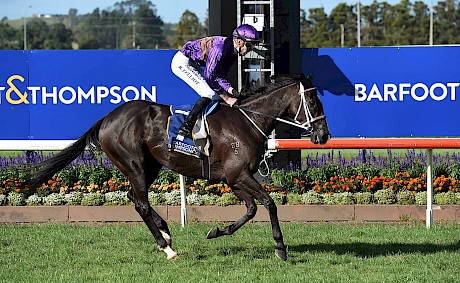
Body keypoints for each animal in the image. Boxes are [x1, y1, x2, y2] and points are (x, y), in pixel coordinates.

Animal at [27, 74, 330, 262]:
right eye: (314, 102)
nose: (324, 136)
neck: (247, 121)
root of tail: (107, 118)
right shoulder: (239, 174)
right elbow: (269, 203)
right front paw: (280, 247)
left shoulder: (233, 178)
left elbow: (252, 209)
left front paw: (217, 231)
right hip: (134, 163)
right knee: (141, 203)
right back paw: (167, 248)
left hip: (150, 165)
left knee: (134, 197)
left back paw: (165, 232)